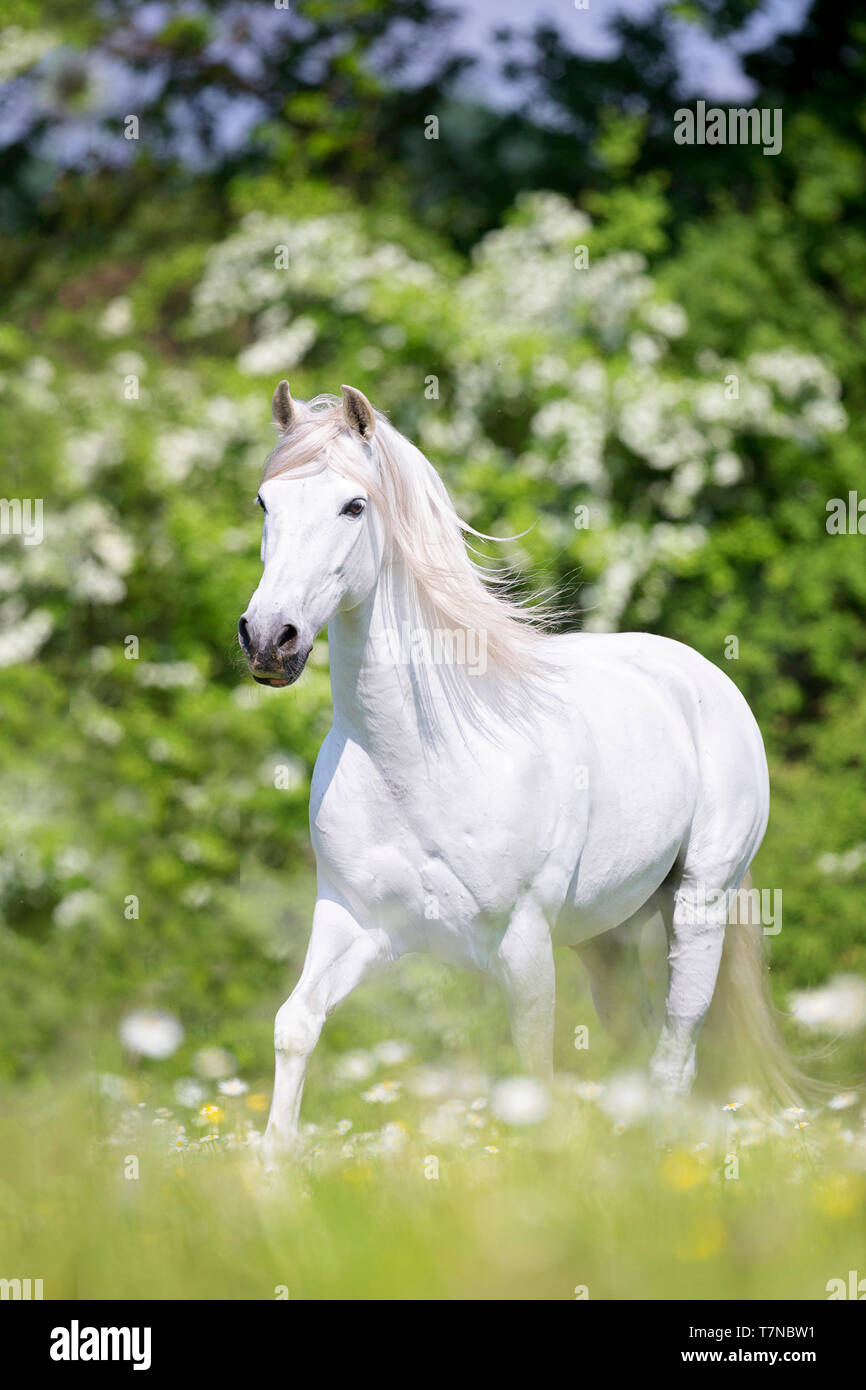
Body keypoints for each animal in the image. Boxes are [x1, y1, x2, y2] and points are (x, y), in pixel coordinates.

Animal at [240, 380, 789, 1150]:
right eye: (266, 504)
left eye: (354, 506)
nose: (269, 639)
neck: (418, 765)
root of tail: (703, 676)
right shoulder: (355, 922)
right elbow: (295, 1026)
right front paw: (274, 1166)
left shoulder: (522, 946)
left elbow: (533, 1066)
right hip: (606, 936)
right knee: (636, 1039)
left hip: (699, 904)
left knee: (674, 1052)